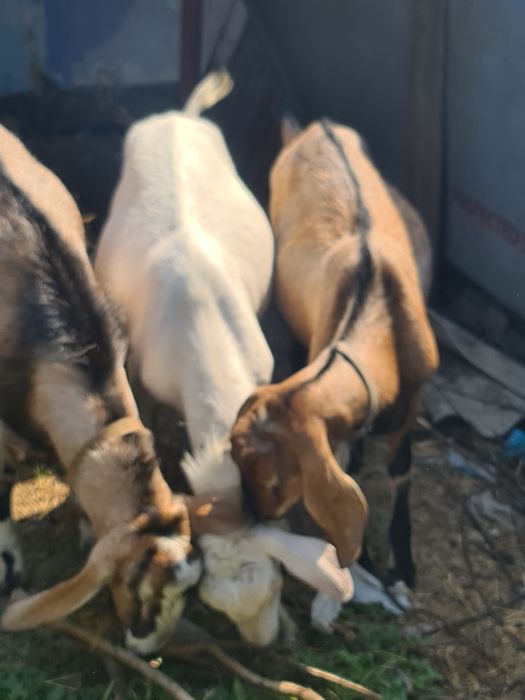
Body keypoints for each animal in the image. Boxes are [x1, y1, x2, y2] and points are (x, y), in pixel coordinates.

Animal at [231, 118, 439, 591]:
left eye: (275, 479)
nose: (253, 516)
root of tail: (313, 127)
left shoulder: (414, 398)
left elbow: (402, 472)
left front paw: (405, 562)